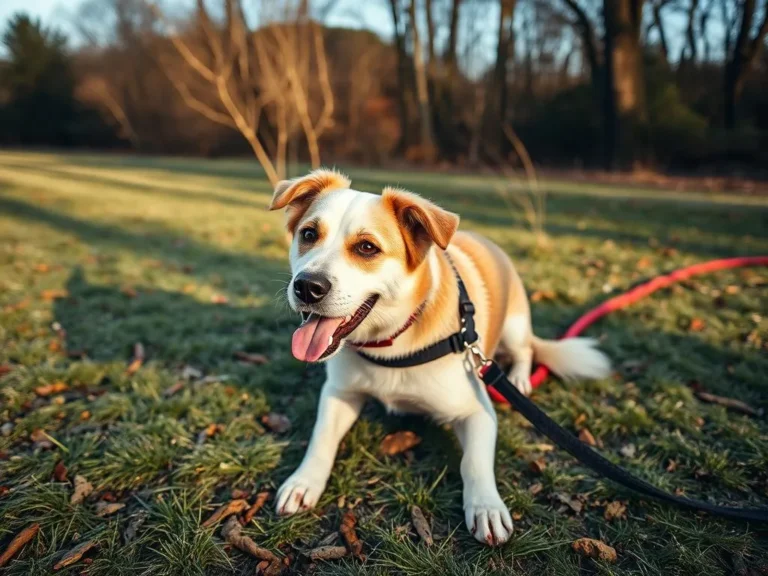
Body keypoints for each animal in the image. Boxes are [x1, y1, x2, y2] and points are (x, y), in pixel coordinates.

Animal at [270, 168, 612, 544]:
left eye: (367, 248)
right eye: (309, 234)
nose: (307, 286)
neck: (393, 340)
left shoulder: (478, 411)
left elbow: (473, 462)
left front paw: (486, 506)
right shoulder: (338, 393)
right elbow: (321, 438)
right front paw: (304, 481)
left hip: (514, 325)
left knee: (525, 350)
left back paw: (520, 377)